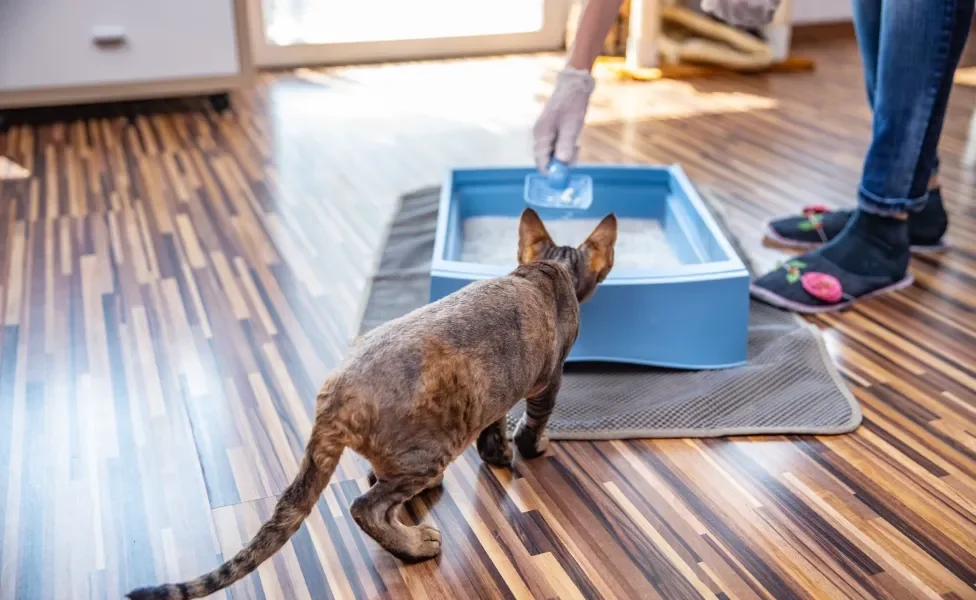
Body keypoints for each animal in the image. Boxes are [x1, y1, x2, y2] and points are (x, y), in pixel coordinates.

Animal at [126, 207, 612, 600]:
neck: (548, 269)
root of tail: (334, 397)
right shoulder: (549, 379)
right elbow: (535, 421)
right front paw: (532, 447)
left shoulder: (501, 391)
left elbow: (495, 425)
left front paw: (497, 451)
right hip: (431, 453)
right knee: (365, 507)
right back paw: (415, 545)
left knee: (378, 482)